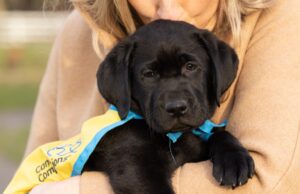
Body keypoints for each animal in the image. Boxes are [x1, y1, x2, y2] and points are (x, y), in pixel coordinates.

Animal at [84, 20, 253, 194]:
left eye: (190, 66)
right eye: (149, 74)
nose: (176, 107)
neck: (175, 136)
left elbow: (218, 133)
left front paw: (234, 158)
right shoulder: (135, 168)